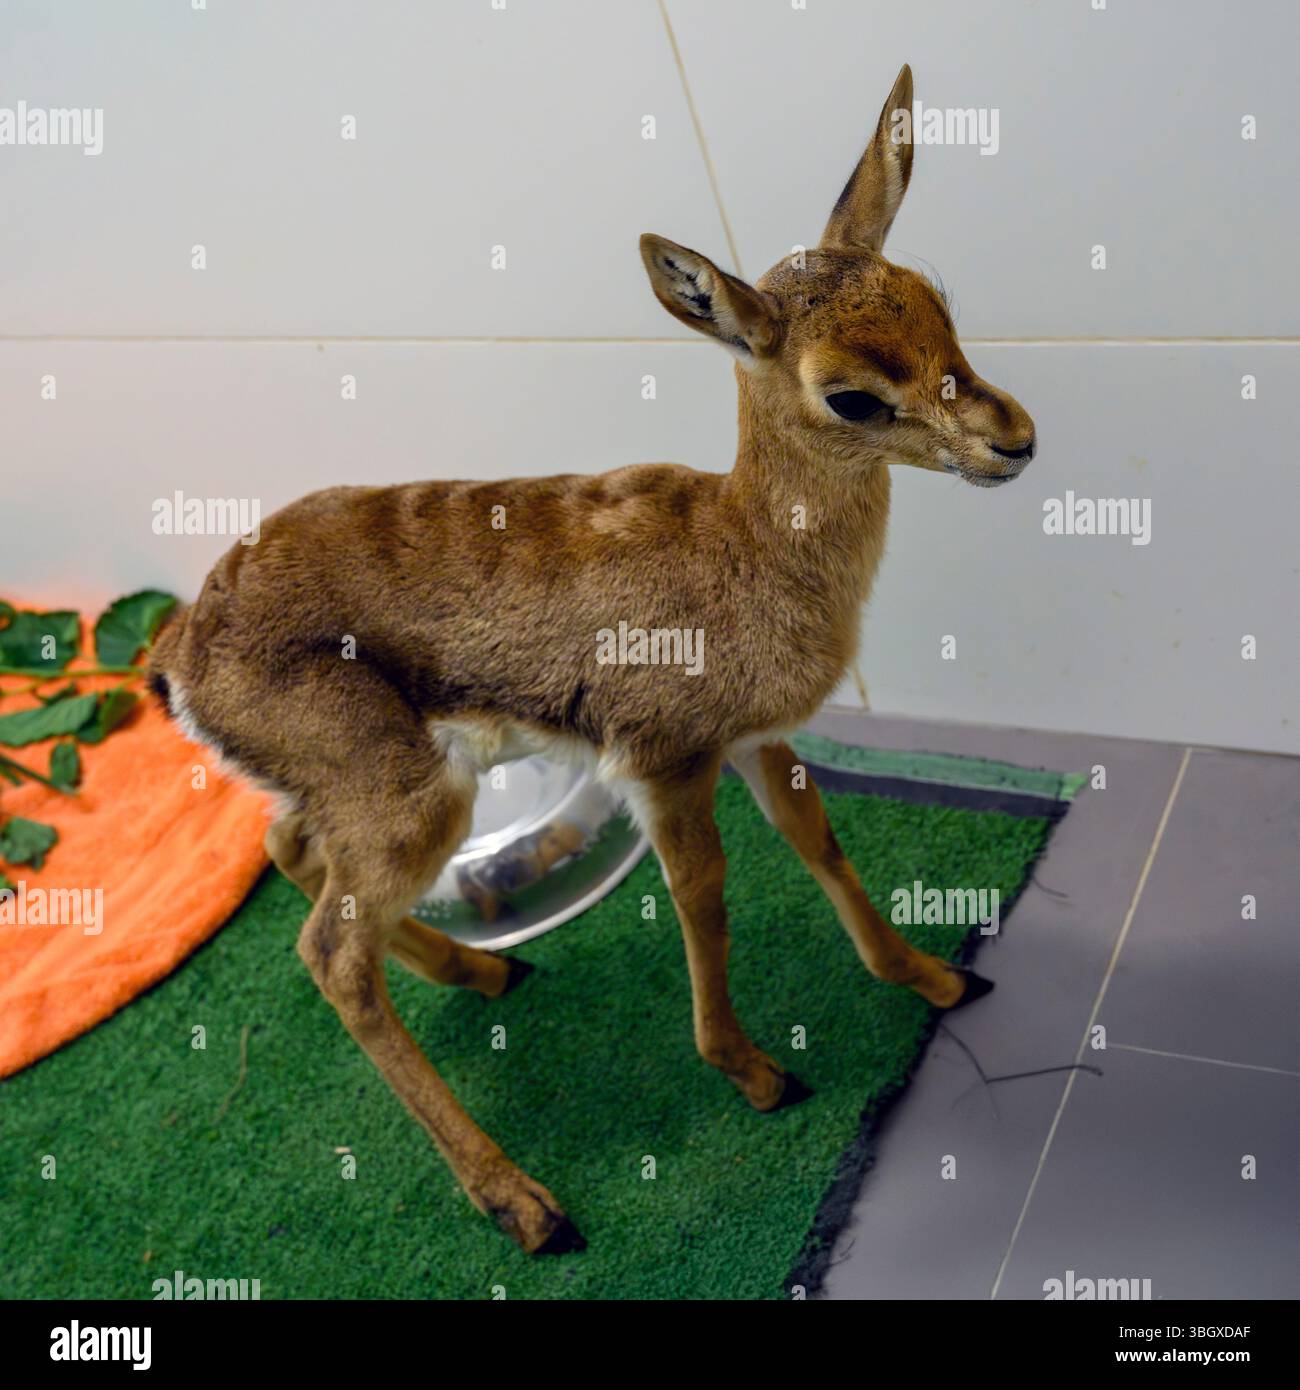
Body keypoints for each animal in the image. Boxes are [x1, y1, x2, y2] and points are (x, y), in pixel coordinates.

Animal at [149, 64, 1036, 1255]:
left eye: (934, 301)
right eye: (851, 390)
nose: (1014, 438)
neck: (739, 545)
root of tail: (180, 655)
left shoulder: (761, 735)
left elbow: (818, 841)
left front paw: (935, 979)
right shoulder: (664, 757)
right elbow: (702, 891)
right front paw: (757, 1073)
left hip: (361, 787)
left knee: (290, 852)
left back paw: (492, 969)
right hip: (407, 797)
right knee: (329, 953)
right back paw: (530, 1206)